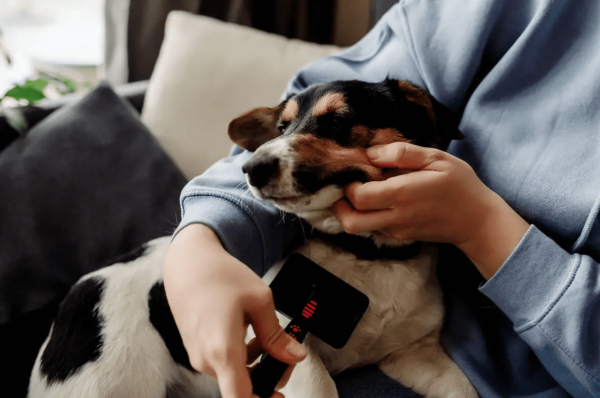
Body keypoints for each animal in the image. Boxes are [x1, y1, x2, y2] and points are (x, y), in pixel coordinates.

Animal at [27, 78, 478, 398]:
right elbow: (322, 386)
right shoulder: (286, 349)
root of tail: (82, 286)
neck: (368, 254)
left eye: (337, 120)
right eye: (281, 126)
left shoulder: (416, 355)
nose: (251, 168)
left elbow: (464, 389)